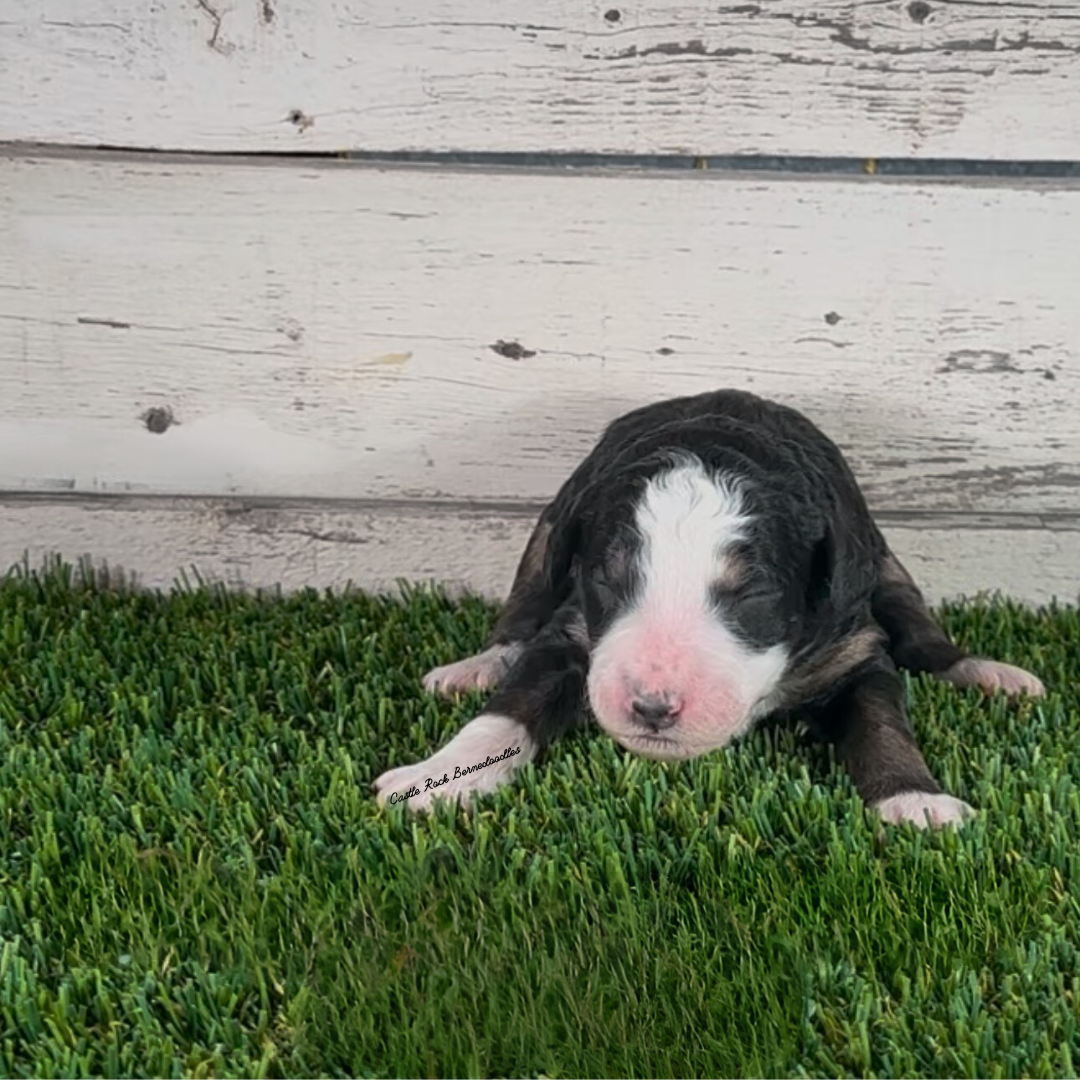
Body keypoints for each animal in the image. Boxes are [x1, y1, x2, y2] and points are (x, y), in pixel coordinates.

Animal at [373, 388, 1045, 825]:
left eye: (751, 594)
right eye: (608, 580)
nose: (653, 708)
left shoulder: (855, 650)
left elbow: (883, 723)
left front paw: (914, 800)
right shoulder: (571, 631)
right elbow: (506, 713)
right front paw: (435, 777)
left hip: (885, 567)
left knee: (921, 635)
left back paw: (988, 674)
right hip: (543, 541)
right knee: (520, 615)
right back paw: (476, 665)